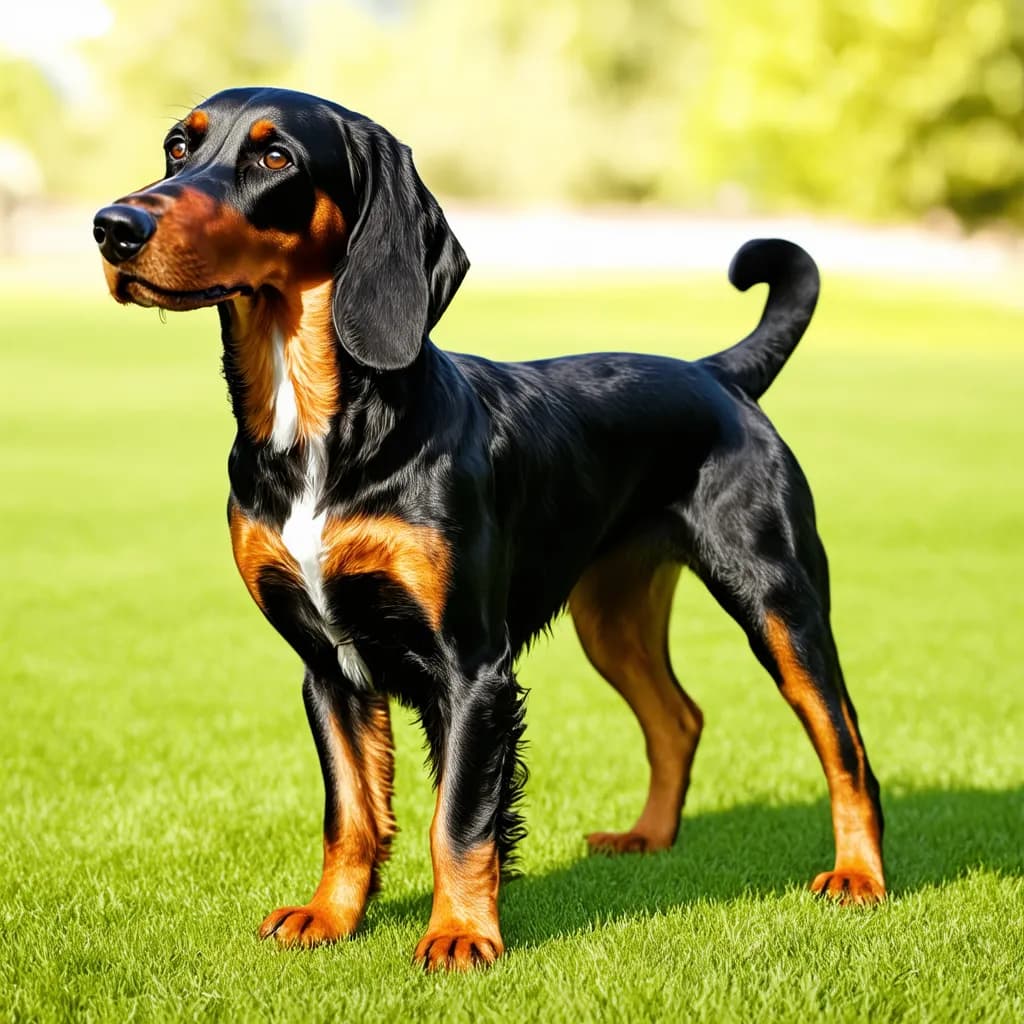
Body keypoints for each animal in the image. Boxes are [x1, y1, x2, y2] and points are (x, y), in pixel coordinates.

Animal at [92, 86, 884, 966]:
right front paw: (330, 916)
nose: (113, 226)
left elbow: (460, 819)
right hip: (612, 617)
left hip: (779, 601)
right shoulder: (325, 663)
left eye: (274, 157)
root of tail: (718, 375)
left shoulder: (472, 666)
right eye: (177, 146)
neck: (321, 432)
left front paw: (461, 933)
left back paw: (858, 876)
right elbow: (350, 812)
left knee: (846, 745)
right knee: (679, 718)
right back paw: (648, 836)